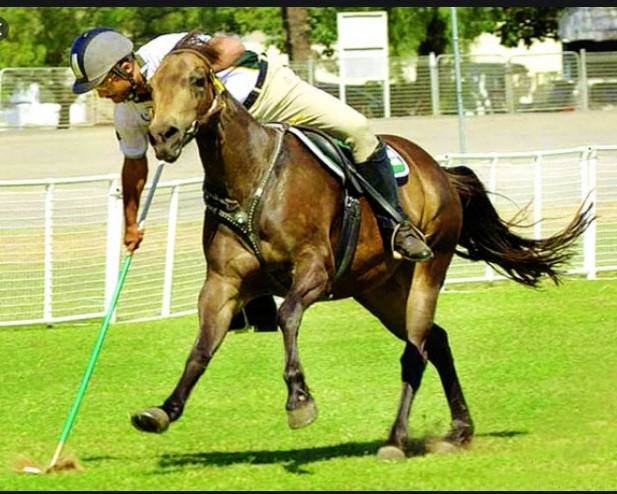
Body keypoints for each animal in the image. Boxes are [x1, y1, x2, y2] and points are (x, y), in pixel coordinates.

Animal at [131, 33, 592, 460]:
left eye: (196, 80)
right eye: (151, 88)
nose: (163, 135)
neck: (251, 177)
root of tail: (440, 172)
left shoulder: (314, 271)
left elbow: (286, 316)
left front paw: (299, 399)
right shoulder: (223, 284)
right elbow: (202, 348)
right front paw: (165, 409)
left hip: (427, 270)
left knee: (416, 351)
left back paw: (396, 440)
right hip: (379, 290)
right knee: (437, 341)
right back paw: (459, 430)